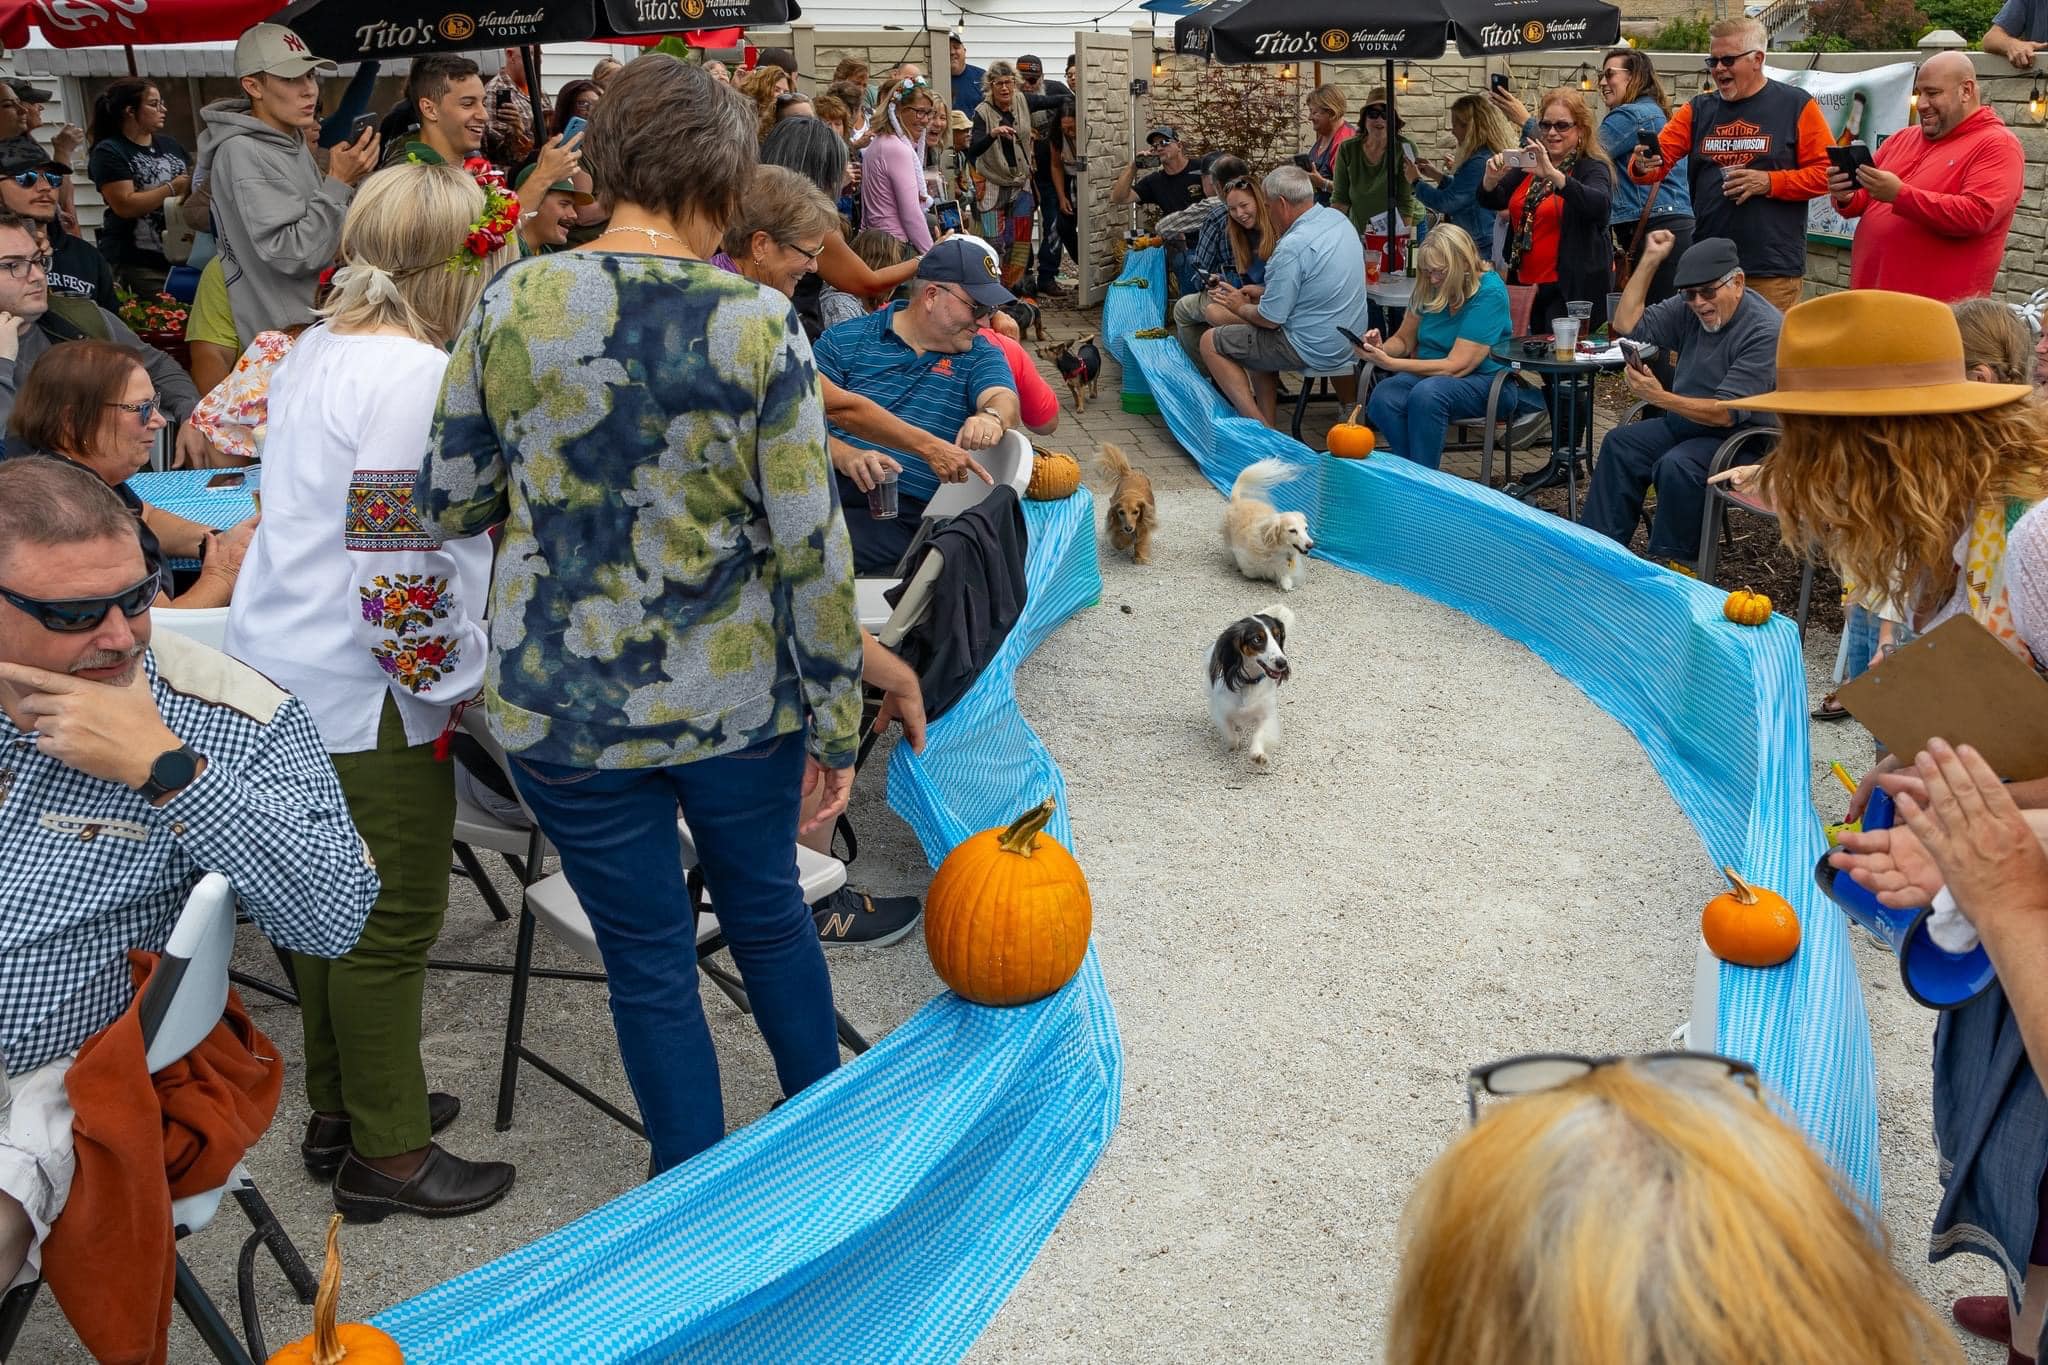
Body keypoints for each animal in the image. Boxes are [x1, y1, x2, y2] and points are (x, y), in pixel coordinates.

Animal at [1208, 604, 1294, 766]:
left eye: (1277, 635)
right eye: (1257, 639)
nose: (1283, 663)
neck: (1250, 682)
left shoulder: (1266, 713)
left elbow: (1260, 734)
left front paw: (1257, 754)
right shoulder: (1221, 710)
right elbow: (1229, 732)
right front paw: (1233, 744)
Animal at [1222, 459, 1314, 591]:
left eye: (1306, 528)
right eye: (1292, 530)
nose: (1311, 545)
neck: (1278, 549)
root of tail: (1238, 500)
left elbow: (1286, 579)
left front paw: (1285, 583)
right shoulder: (1248, 564)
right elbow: (1252, 571)